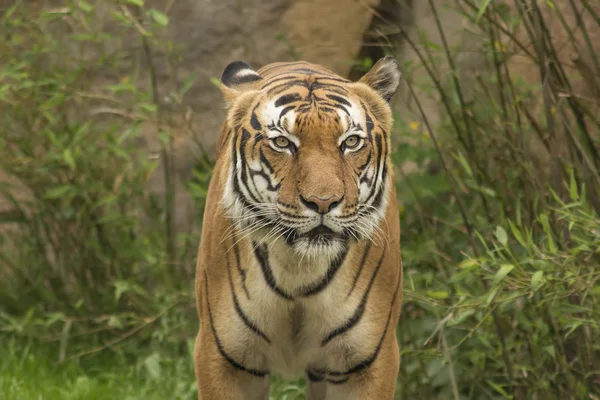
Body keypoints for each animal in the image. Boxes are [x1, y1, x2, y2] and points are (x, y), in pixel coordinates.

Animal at [195, 57, 406, 400]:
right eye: (283, 142)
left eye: (351, 142)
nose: (323, 202)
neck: (298, 268)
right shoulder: (224, 357)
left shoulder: (366, 360)